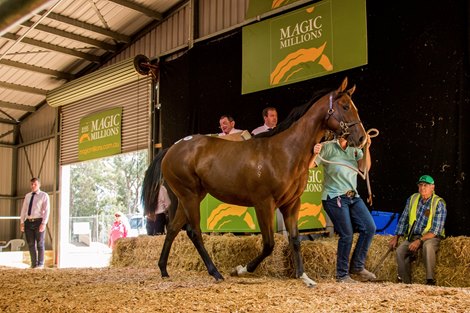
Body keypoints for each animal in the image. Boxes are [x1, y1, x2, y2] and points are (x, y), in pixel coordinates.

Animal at [141, 77, 366, 286]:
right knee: (194, 232)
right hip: (190, 196)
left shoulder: (292, 204)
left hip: (190, 196)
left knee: (172, 229)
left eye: (354, 107)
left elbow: (295, 239)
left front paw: (303, 276)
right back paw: (216, 273)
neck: (285, 151)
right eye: (345, 106)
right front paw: (241, 269)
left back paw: (163, 269)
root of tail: (172, 148)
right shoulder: (264, 204)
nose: (362, 138)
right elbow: (269, 244)